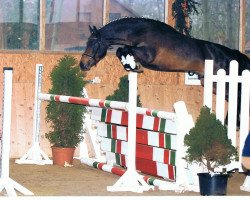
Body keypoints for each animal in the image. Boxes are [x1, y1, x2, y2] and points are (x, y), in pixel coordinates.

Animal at [80, 17, 250, 126]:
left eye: (92, 44)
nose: (83, 64)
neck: (140, 32)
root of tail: (230, 54)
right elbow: (121, 50)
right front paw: (130, 65)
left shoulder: (148, 55)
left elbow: (125, 49)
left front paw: (133, 65)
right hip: (211, 83)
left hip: (222, 81)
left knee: (238, 96)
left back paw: (234, 124)